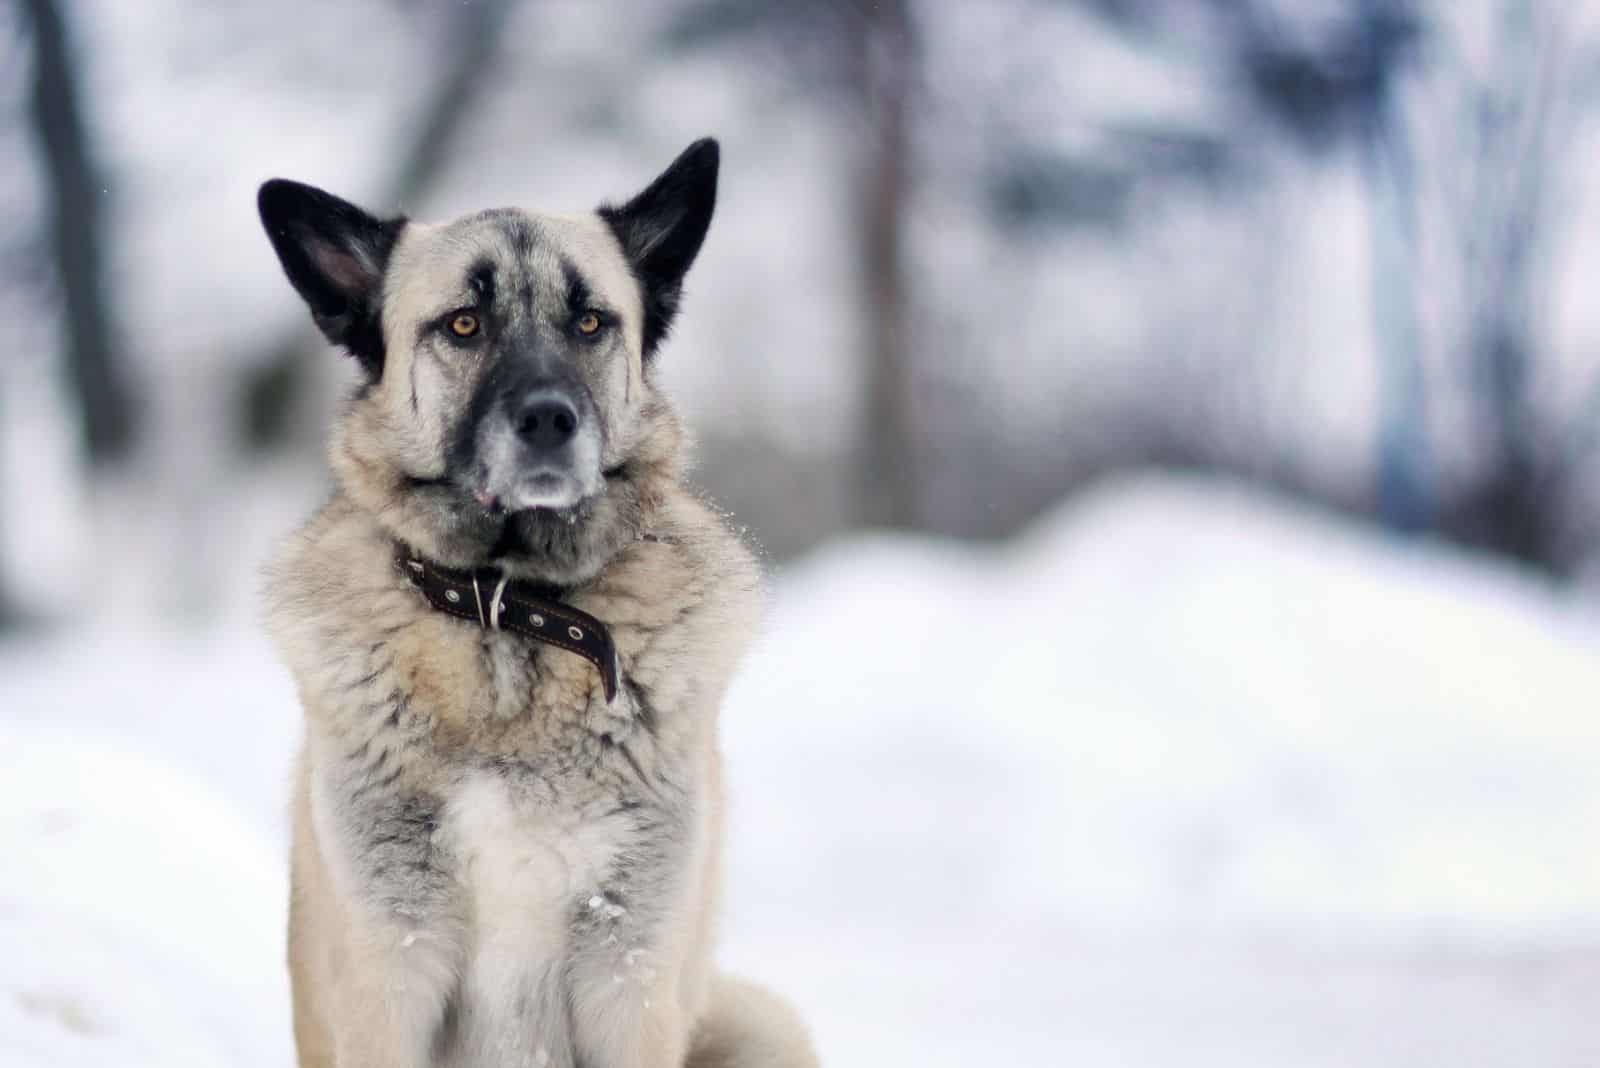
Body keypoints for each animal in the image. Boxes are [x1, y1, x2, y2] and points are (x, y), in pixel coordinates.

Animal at [260, 139, 819, 1068]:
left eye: (590, 323)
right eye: (463, 325)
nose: (551, 420)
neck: (506, 610)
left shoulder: (628, 979)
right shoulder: (390, 976)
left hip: (760, 1021)